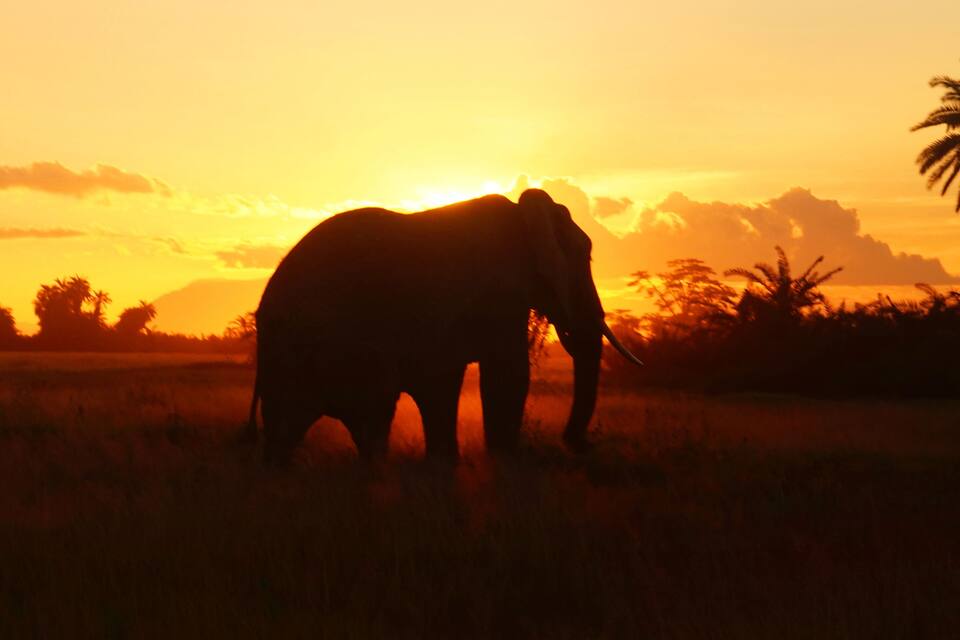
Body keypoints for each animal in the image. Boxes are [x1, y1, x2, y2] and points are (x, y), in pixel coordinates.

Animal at [244, 188, 642, 464]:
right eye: (584, 255)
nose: (580, 443)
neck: (521, 214)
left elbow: (443, 384)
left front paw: (446, 463)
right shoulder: (499, 292)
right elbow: (508, 375)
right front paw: (504, 462)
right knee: (365, 412)